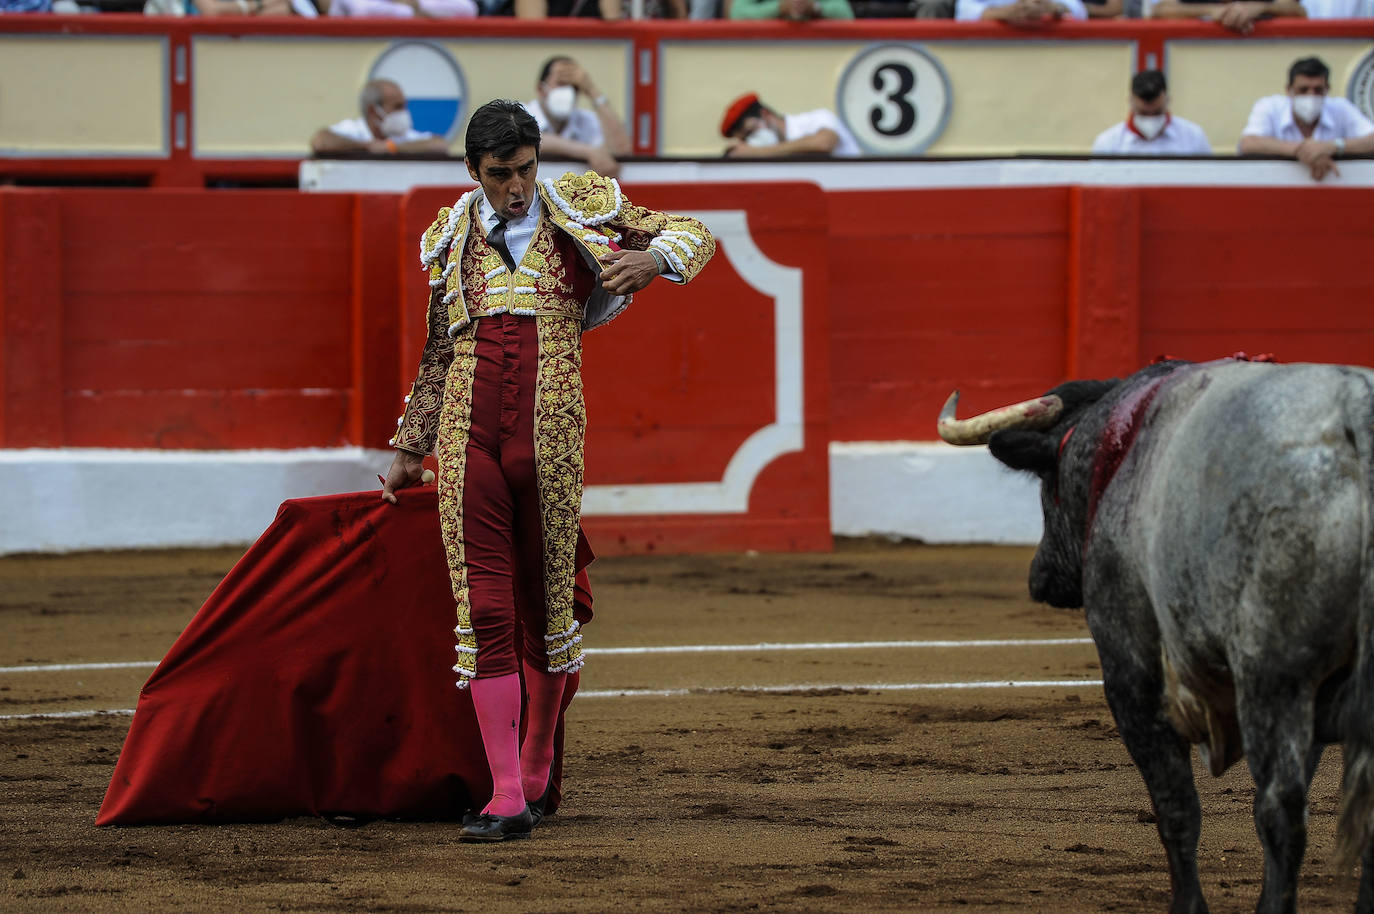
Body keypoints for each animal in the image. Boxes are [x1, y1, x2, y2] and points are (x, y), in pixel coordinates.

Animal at [939, 357, 1374, 912]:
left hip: (1273, 682)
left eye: (1045, 480)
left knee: (1280, 813)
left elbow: (1176, 809)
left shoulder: (1131, 676)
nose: (1040, 577)